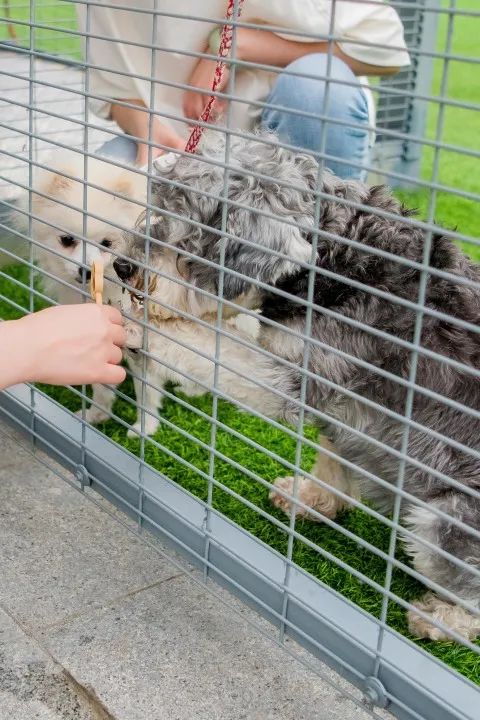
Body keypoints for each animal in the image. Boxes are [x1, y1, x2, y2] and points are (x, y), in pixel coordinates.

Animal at [115, 134, 480, 640]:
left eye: (185, 229)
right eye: (155, 206)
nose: (120, 266)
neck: (330, 263)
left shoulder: (291, 378)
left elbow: (208, 346)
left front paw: (141, 327)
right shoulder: (336, 405)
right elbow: (332, 455)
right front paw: (315, 499)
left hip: (444, 520)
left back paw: (440, 619)